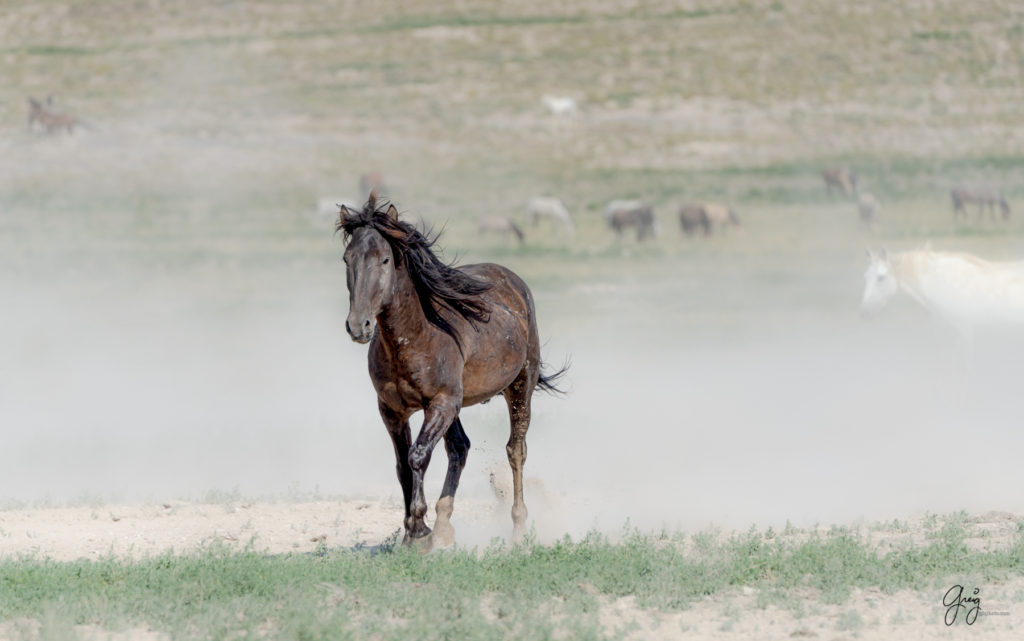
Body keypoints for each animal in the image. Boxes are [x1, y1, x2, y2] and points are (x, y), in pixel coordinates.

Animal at [335, 197, 565, 544]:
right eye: (347, 258)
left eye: (385, 259)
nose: (358, 326)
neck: (416, 336)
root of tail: (515, 283)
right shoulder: (392, 411)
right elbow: (404, 465)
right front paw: (412, 533)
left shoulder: (441, 403)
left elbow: (417, 456)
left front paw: (418, 529)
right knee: (459, 448)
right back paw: (444, 526)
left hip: (519, 386)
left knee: (516, 450)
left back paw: (518, 529)